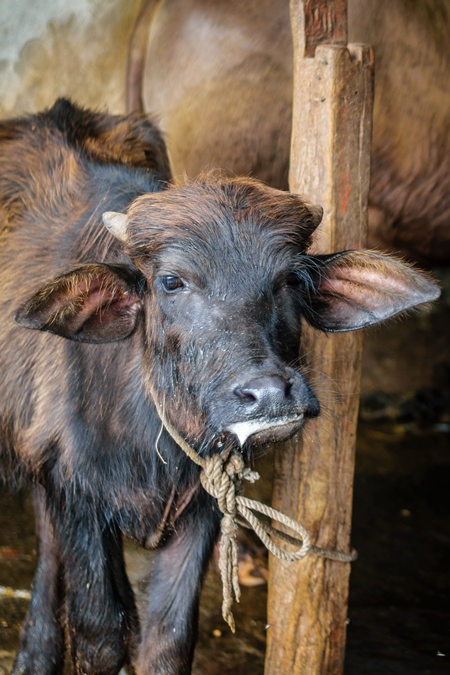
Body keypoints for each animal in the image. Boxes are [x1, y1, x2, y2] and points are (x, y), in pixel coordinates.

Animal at [0, 101, 440, 675]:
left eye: (291, 279)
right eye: (172, 282)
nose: (269, 392)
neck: (151, 437)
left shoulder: (202, 508)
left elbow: (167, 639)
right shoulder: (71, 488)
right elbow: (99, 633)